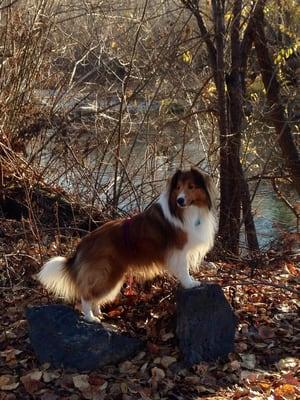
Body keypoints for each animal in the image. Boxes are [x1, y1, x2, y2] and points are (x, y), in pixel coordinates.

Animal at [38, 167, 216, 324]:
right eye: (178, 187)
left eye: (191, 186)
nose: (180, 200)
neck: (185, 211)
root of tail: (83, 243)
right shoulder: (179, 251)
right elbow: (184, 270)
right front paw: (190, 283)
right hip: (105, 274)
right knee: (86, 294)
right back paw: (90, 317)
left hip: (113, 275)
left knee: (94, 295)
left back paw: (98, 313)